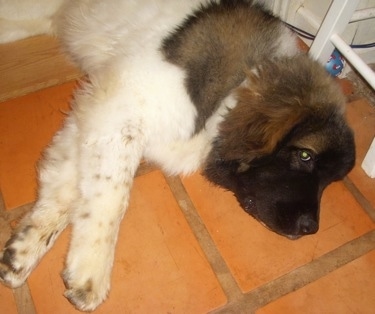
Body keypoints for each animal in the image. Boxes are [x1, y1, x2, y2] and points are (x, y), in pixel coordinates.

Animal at [0, 0, 356, 312]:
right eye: (305, 155)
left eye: (330, 180)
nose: (311, 228)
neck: (234, 90)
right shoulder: (120, 108)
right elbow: (112, 197)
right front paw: (92, 271)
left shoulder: (95, 116)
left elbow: (70, 191)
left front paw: (23, 250)